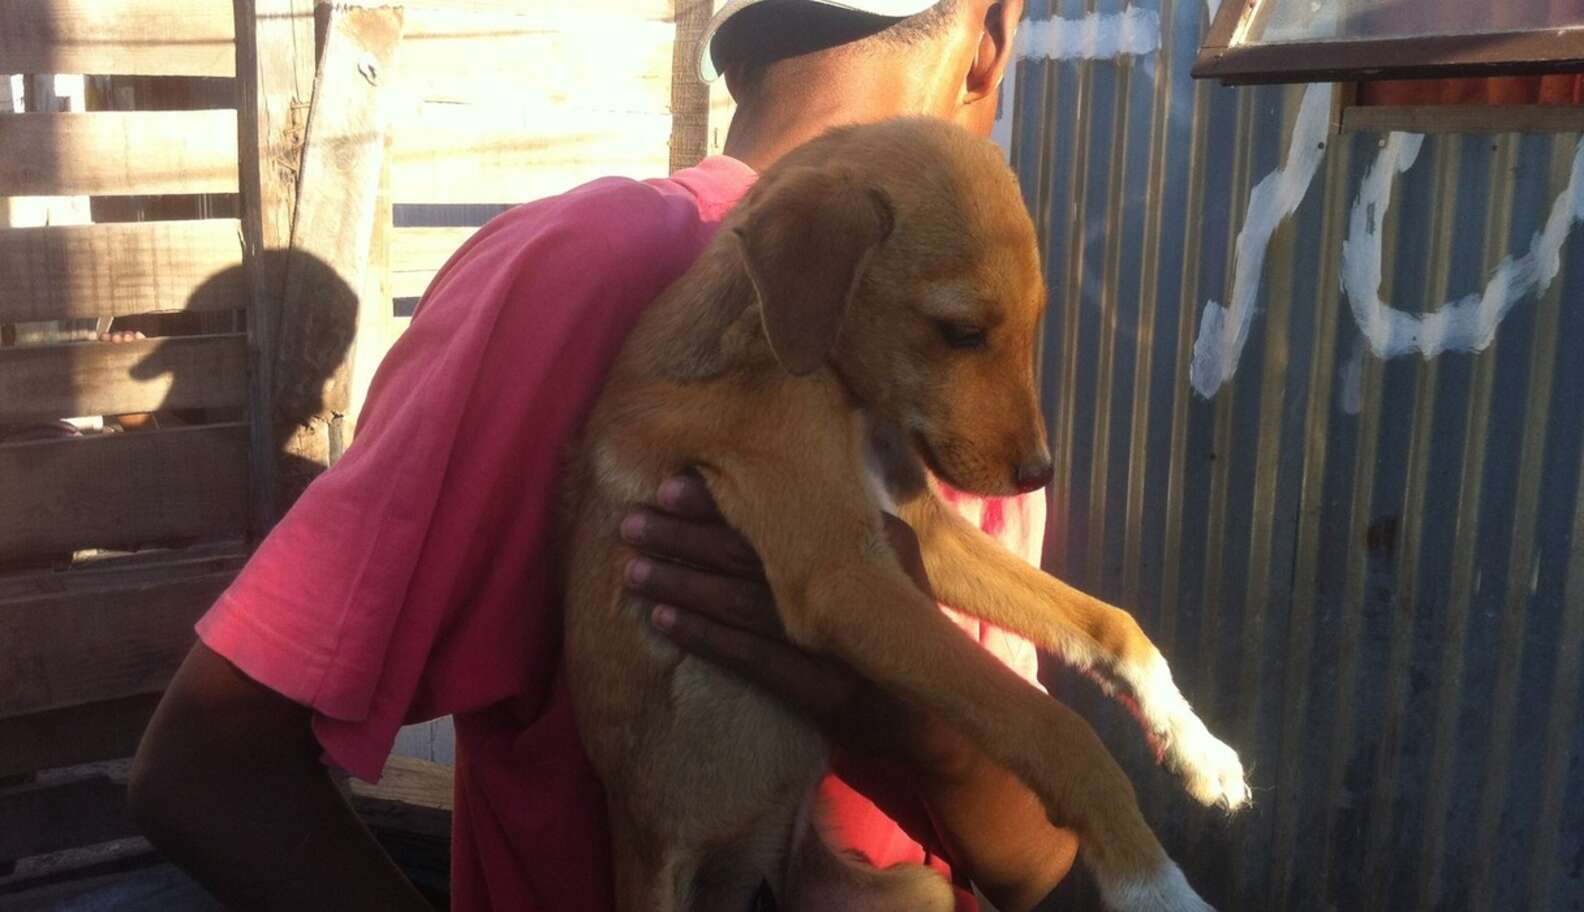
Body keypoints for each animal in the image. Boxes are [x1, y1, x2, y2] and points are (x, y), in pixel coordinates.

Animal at [563, 119, 1241, 912]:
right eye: (961, 332)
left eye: (1033, 324)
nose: (1039, 474)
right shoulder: (844, 576)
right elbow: (1056, 728)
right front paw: (1154, 884)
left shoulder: (921, 531)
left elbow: (1110, 623)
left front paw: (1196, 746)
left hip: (915, 887)